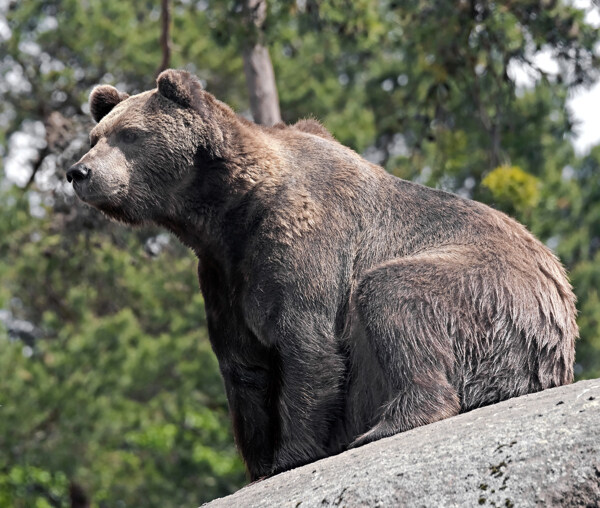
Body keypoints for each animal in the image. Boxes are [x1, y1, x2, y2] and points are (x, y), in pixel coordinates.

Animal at [68, 70, 580, 480]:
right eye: (96, 136)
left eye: (130, 134)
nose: (78, 172)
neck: (228, 213)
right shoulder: (223, 277)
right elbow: (245, 372)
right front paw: (259, 468)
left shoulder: (304, 245)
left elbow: (307, 347)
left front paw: (292, 456)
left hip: (489, 293)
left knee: (393, 294)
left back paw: (386, 423)